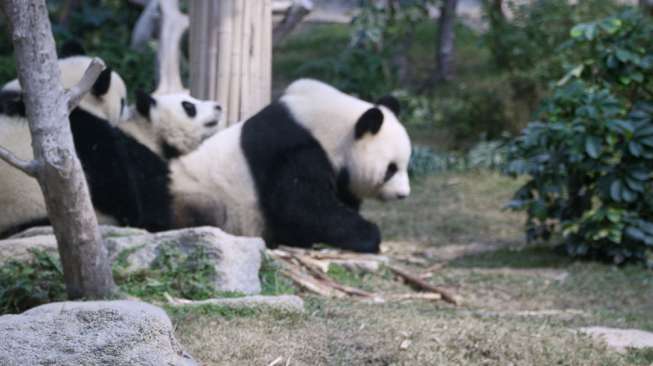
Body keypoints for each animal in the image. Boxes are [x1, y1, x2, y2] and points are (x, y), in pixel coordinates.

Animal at [168, 78, 410, 253]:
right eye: (391, 169)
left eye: (404, 164)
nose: (403, 194)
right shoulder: (293, 152)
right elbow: (300, 208)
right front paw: (369, 234)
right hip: (196, 196)